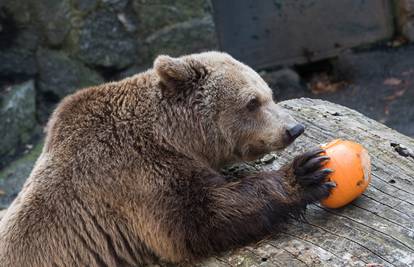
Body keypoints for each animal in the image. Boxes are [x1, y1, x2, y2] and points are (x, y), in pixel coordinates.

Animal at [0, 51, 334, 266]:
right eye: (252, 102)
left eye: (270, 93)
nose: (293, 128)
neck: (175, 135)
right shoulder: (131, 172)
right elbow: (197, 217)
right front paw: (306, 173)